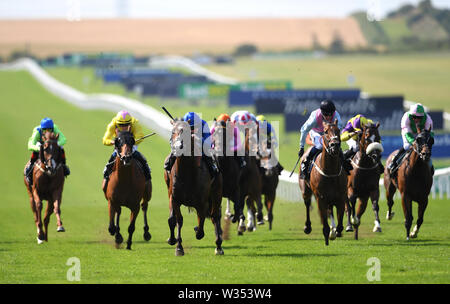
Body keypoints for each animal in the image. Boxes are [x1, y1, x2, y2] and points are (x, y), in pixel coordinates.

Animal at [163, 117, 223, 255]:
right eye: (173, 132)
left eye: (185, 131)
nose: (178, 147)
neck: (186, 173)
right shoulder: (175, 198)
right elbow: (177, 220)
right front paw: (178, 246)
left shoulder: (202, 202)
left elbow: (201, 226)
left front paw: (196, 230)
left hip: (216, 193)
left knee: (215, 216)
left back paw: (219, 246)